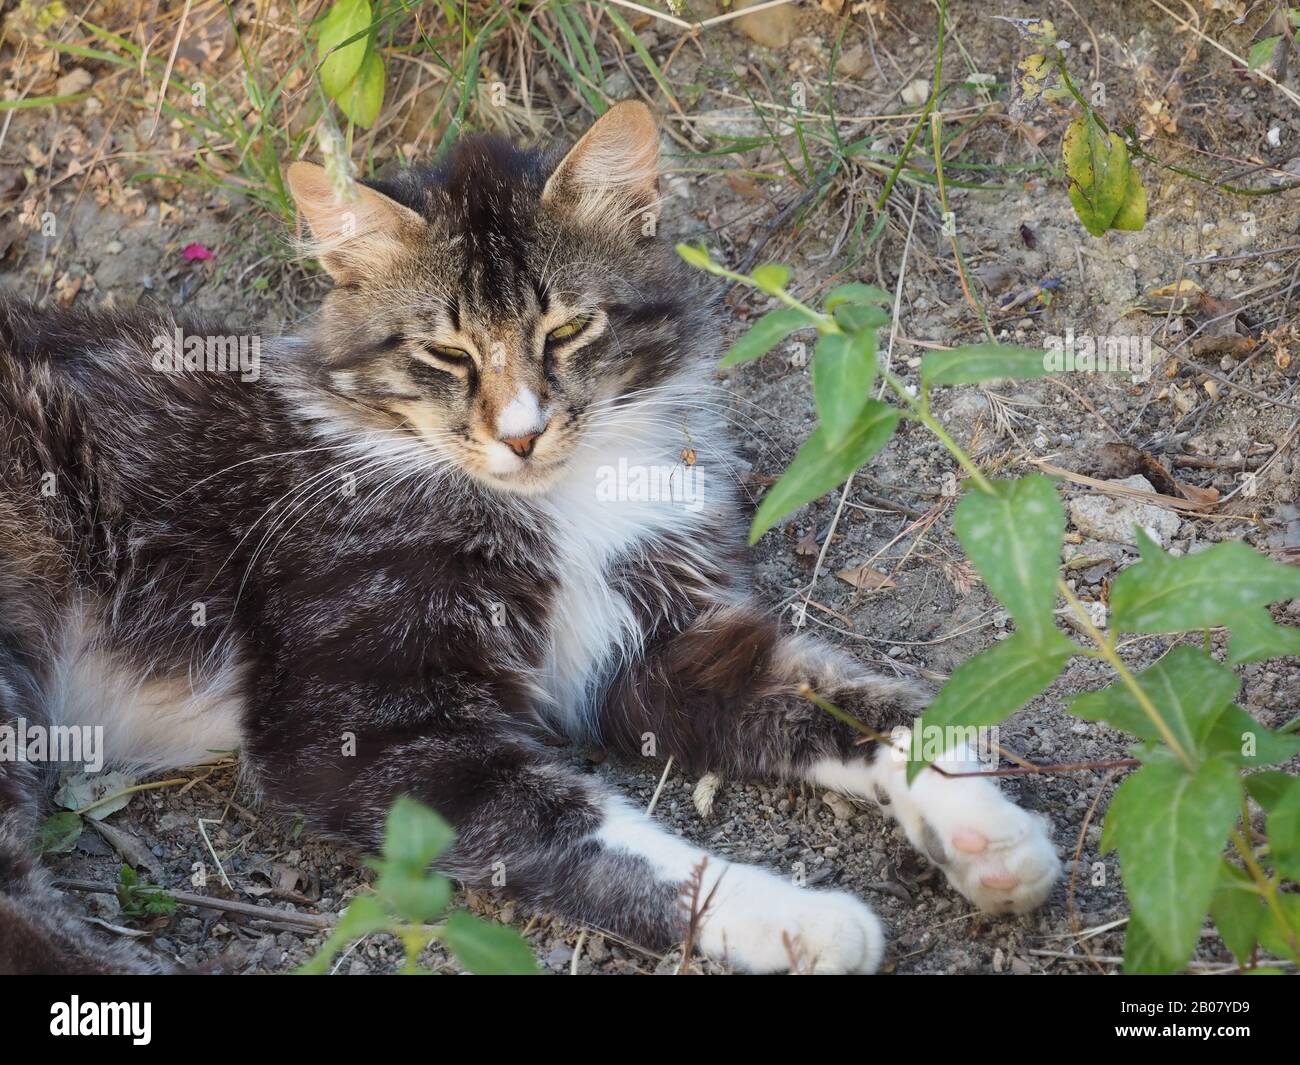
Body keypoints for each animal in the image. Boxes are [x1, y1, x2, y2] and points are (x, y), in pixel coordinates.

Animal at [0, 102, 1055, 972]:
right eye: (446, 352)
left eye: (567, 331)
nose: (521, 432)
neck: (561, 502)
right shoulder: (366, 722)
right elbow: (584, 831)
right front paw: (795, 918)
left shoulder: (659, 642)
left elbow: (860, 703)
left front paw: (983, 829)